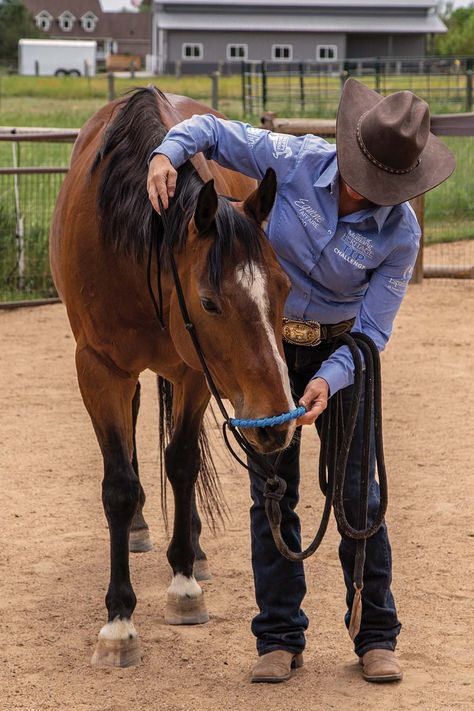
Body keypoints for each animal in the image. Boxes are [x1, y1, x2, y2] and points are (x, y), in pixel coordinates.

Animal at [50, 87, 298, 668]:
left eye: (283, 287)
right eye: (209, 302)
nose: (277, 424)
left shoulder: (192, 372)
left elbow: (183, 464)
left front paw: (184, 584)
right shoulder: (98, 368)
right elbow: (118, 486)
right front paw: (119, 622)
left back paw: (196, 546)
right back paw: (140, 529)